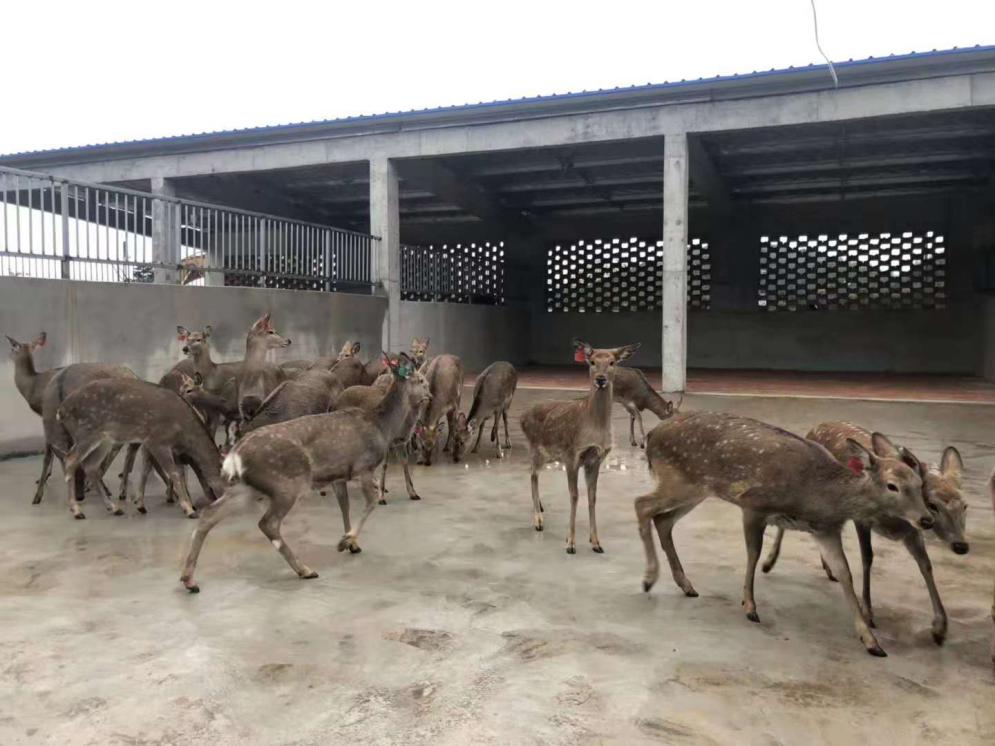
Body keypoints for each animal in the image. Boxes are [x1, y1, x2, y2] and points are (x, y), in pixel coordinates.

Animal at [58, 378, 226, 516]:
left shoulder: (164, 447)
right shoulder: (157, 440)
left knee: (91, 466)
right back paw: (77, 510)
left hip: (105, 440)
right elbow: (174, 473)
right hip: (86, 432)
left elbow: (169, 471)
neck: (183, 430)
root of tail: (61, 411)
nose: (222, 499)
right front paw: (189, 509)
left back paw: (114, 508)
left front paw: (142, 504)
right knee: (70, 459)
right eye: (229, 480)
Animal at [181, 352, 430, 588]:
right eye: (421, 380)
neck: (382, 427)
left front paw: (352, 543)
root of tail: (235, 455)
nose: (430, 395)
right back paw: (305, 569)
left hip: (247, 487)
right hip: (286, 483)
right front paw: (345, 541)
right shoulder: (364, 465)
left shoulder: (338, 476)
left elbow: (345, 507)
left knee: (210, 514)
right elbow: (370, 503)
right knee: (268, 523)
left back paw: (189, 579)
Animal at [516, 338, 640, 552]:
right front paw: (570, 543)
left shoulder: (595, 459)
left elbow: (592, 496)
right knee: (532, 475)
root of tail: (522, 417)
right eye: (592, 362)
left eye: (612, 362)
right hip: (536, 448)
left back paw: (541, 508)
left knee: (532, 474)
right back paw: (538, 520)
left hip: (548, 454)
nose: (600, 379)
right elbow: (574, 496)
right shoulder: (571, 456)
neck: (594, 427)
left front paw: (596, 542)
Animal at [636, 410, 936, 652]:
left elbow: (845, 573)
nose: (926, 519)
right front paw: (750, 606)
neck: (819, 495)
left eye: (919, 484)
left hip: (697, 489)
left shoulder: (825, 529)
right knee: (642, 505)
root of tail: (652, 435)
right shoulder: (753, 504)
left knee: (663, 520)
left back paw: (685, 585)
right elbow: (753, 553)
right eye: (892, 486)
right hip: (679, 480)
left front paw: (871, 641)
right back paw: (649, 578)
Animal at [760, 424, 968, 644]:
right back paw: (768, 562)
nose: (961, 545)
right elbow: (867, 557)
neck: (895, 520)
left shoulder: (912, 532)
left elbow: (925, 565)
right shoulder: (863, 519)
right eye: (932, 505)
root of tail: (816, 427)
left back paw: (828, 568)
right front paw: (868, 613)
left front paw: (940, 628)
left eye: (965, 506)